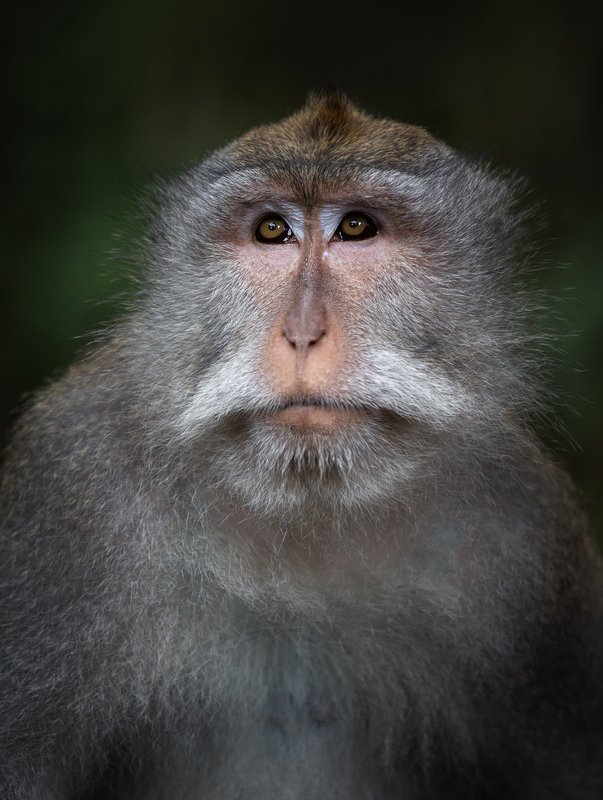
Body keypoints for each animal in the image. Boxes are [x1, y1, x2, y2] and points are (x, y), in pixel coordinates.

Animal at [0, 93, 602, 800]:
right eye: (270, 231)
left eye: (357, 228)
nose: (303, 332)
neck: (306, 518)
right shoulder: (69, 492)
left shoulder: (527, 534)